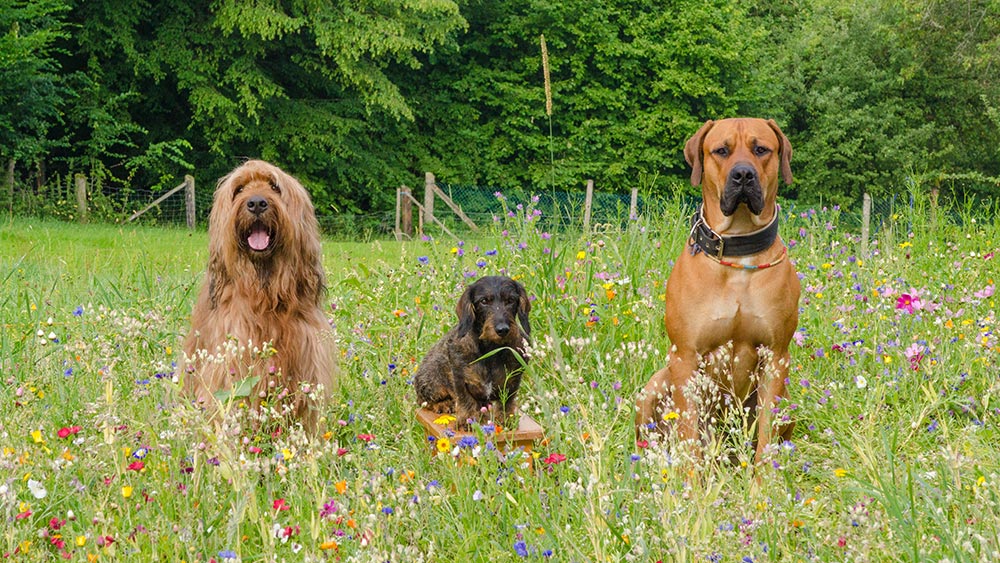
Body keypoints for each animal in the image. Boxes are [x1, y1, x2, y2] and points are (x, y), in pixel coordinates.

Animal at [416, 276, 532, 428]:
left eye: (511, 300)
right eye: (483, 301)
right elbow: (466, 399)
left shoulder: (513, 378)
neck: (492, 351)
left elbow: (507, 401)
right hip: (432, 381)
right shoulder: (460, 378)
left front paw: (505, 418)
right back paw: (443, 404)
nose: (502, 329)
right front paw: (468, 419)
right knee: (424, 401)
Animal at [636, 119, 800, 462]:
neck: (738, 250)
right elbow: (689, 433)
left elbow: (766, 437)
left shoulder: (776, 358)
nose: (743, 174)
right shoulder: (685, 357)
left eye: (761, 149)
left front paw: (764, 478)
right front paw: (690, 478)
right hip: (653, 386)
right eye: (721, 150)